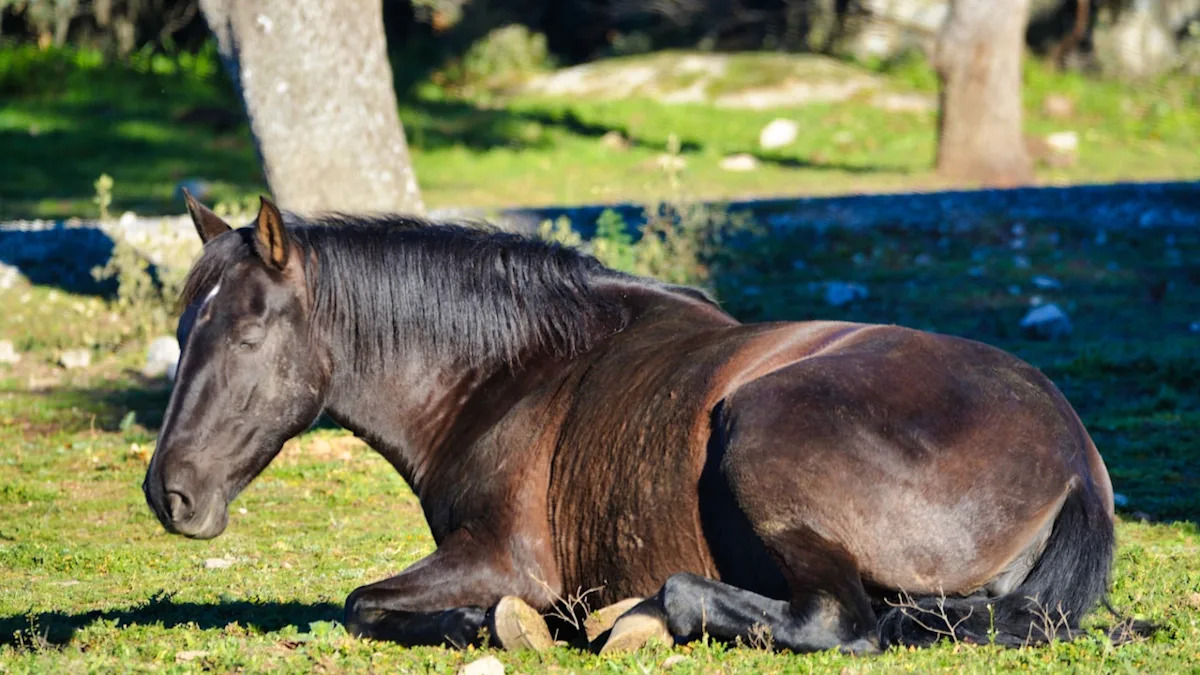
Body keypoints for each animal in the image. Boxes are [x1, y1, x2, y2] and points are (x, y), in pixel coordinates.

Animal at [143, 193, 1138, 654]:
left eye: (247, 335)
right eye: (185, 331)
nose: (169, 493)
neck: (515, 374)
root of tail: (1074, 456)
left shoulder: (503, 557)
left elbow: (362, 601)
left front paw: (492, 624)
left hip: (762, 433)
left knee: (838, 619)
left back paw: (644, 612)